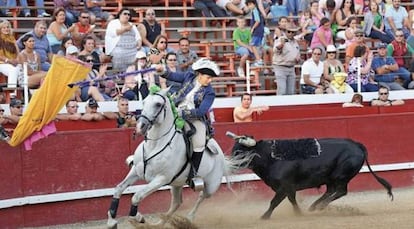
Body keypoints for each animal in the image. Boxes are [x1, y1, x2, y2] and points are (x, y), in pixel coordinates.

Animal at [106, 87, 236, 227]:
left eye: (158, 104)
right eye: (144, 102)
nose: (140, 126)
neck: (154, 145)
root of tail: (221, 155)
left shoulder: (161, 178)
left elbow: (137, 196)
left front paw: (138, 217)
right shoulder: (136, 171)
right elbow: (118, 189)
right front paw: (112, 221)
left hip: (211, 186)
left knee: (201, 196)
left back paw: (189, 218)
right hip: (176, 183)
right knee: (177, 202)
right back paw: (160, 224)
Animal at [230, 136, 394, 220]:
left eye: (239, 152)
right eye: (233, 150)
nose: (229, 164)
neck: (270, 158)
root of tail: (357, 145)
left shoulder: (284, 187)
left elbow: (274, 202)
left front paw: (264, 217)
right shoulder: (288, 188)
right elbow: (292, 200)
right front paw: (299, 213)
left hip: (340, 176)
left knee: (341, 191)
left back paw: (319, 206)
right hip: (330, 178)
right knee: (331, 191)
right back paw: (314, 206)